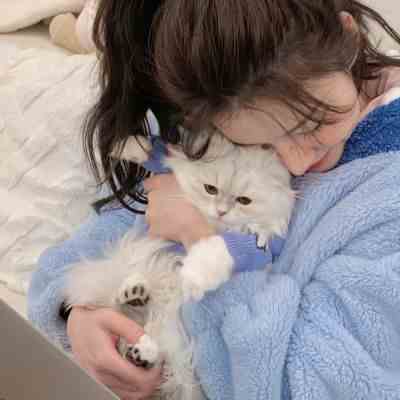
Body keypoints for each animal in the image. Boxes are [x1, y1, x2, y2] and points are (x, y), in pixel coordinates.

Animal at [63, 130, 295, 399]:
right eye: (210, 189)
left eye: (244, 200)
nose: (221, 211)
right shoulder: (171, 165)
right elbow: (153, 152)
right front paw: (127, 145)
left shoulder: (258, 250)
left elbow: (217, 249)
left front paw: (192, 276)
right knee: (118, 304)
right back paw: (134, 294)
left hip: (173, 337)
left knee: (152, 348)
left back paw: (141, 348)